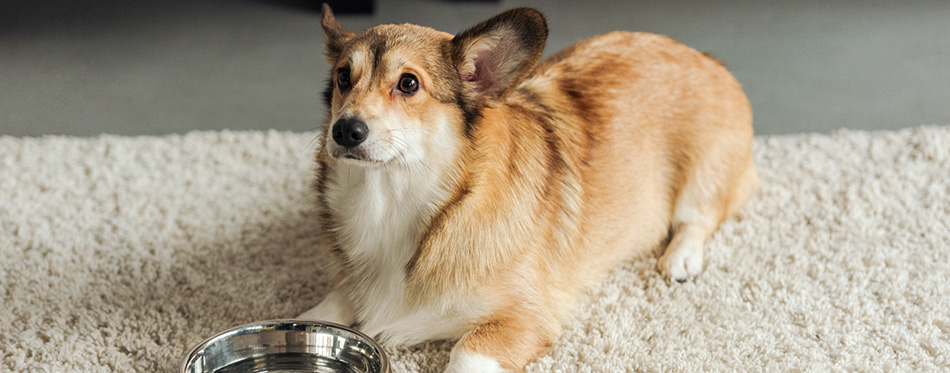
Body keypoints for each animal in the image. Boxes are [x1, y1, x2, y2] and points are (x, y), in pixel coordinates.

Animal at [300, 4, 760, 370]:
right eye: (343, 77)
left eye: (409, 83)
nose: (345, 131)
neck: (395, 202)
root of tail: (701, 55)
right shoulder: (352, 282)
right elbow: (323, 309)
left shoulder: (522, 320)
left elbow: (464, 352)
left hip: (704, 173)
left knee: (699, 218)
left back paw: (681, 258)